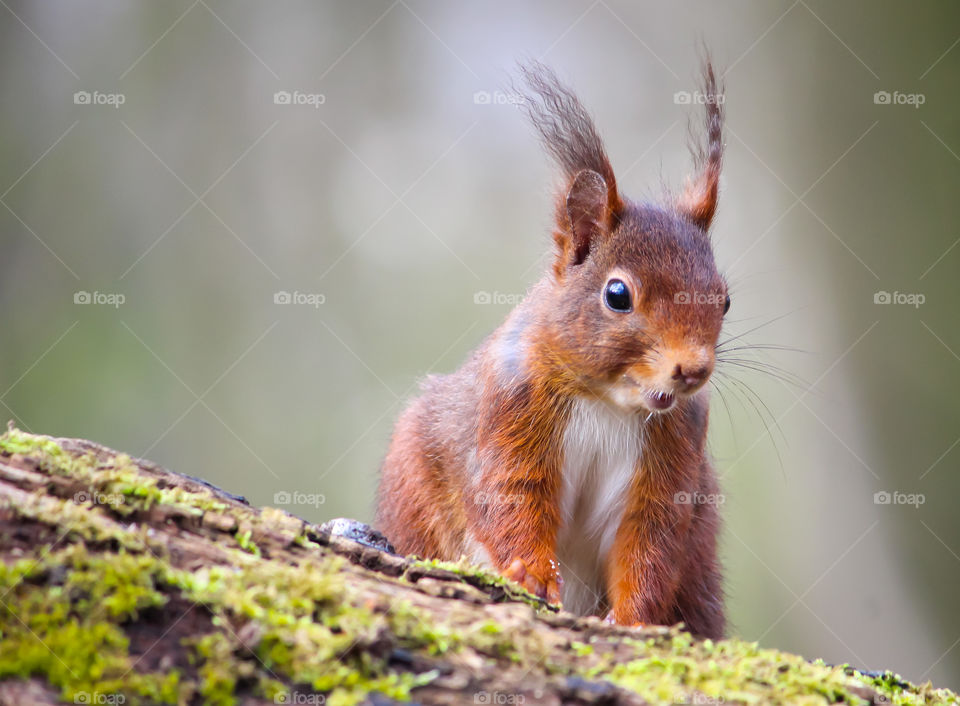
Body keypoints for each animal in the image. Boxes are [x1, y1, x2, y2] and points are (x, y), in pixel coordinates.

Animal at [376, 59, 728, 639]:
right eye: (617, 295)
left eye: (725, 299)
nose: (693, 371)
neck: (609, 401)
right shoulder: (510, 409)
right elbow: (511, 499)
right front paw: (533, 576)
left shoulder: (675, 457)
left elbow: (649, 545)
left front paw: (632, 620)